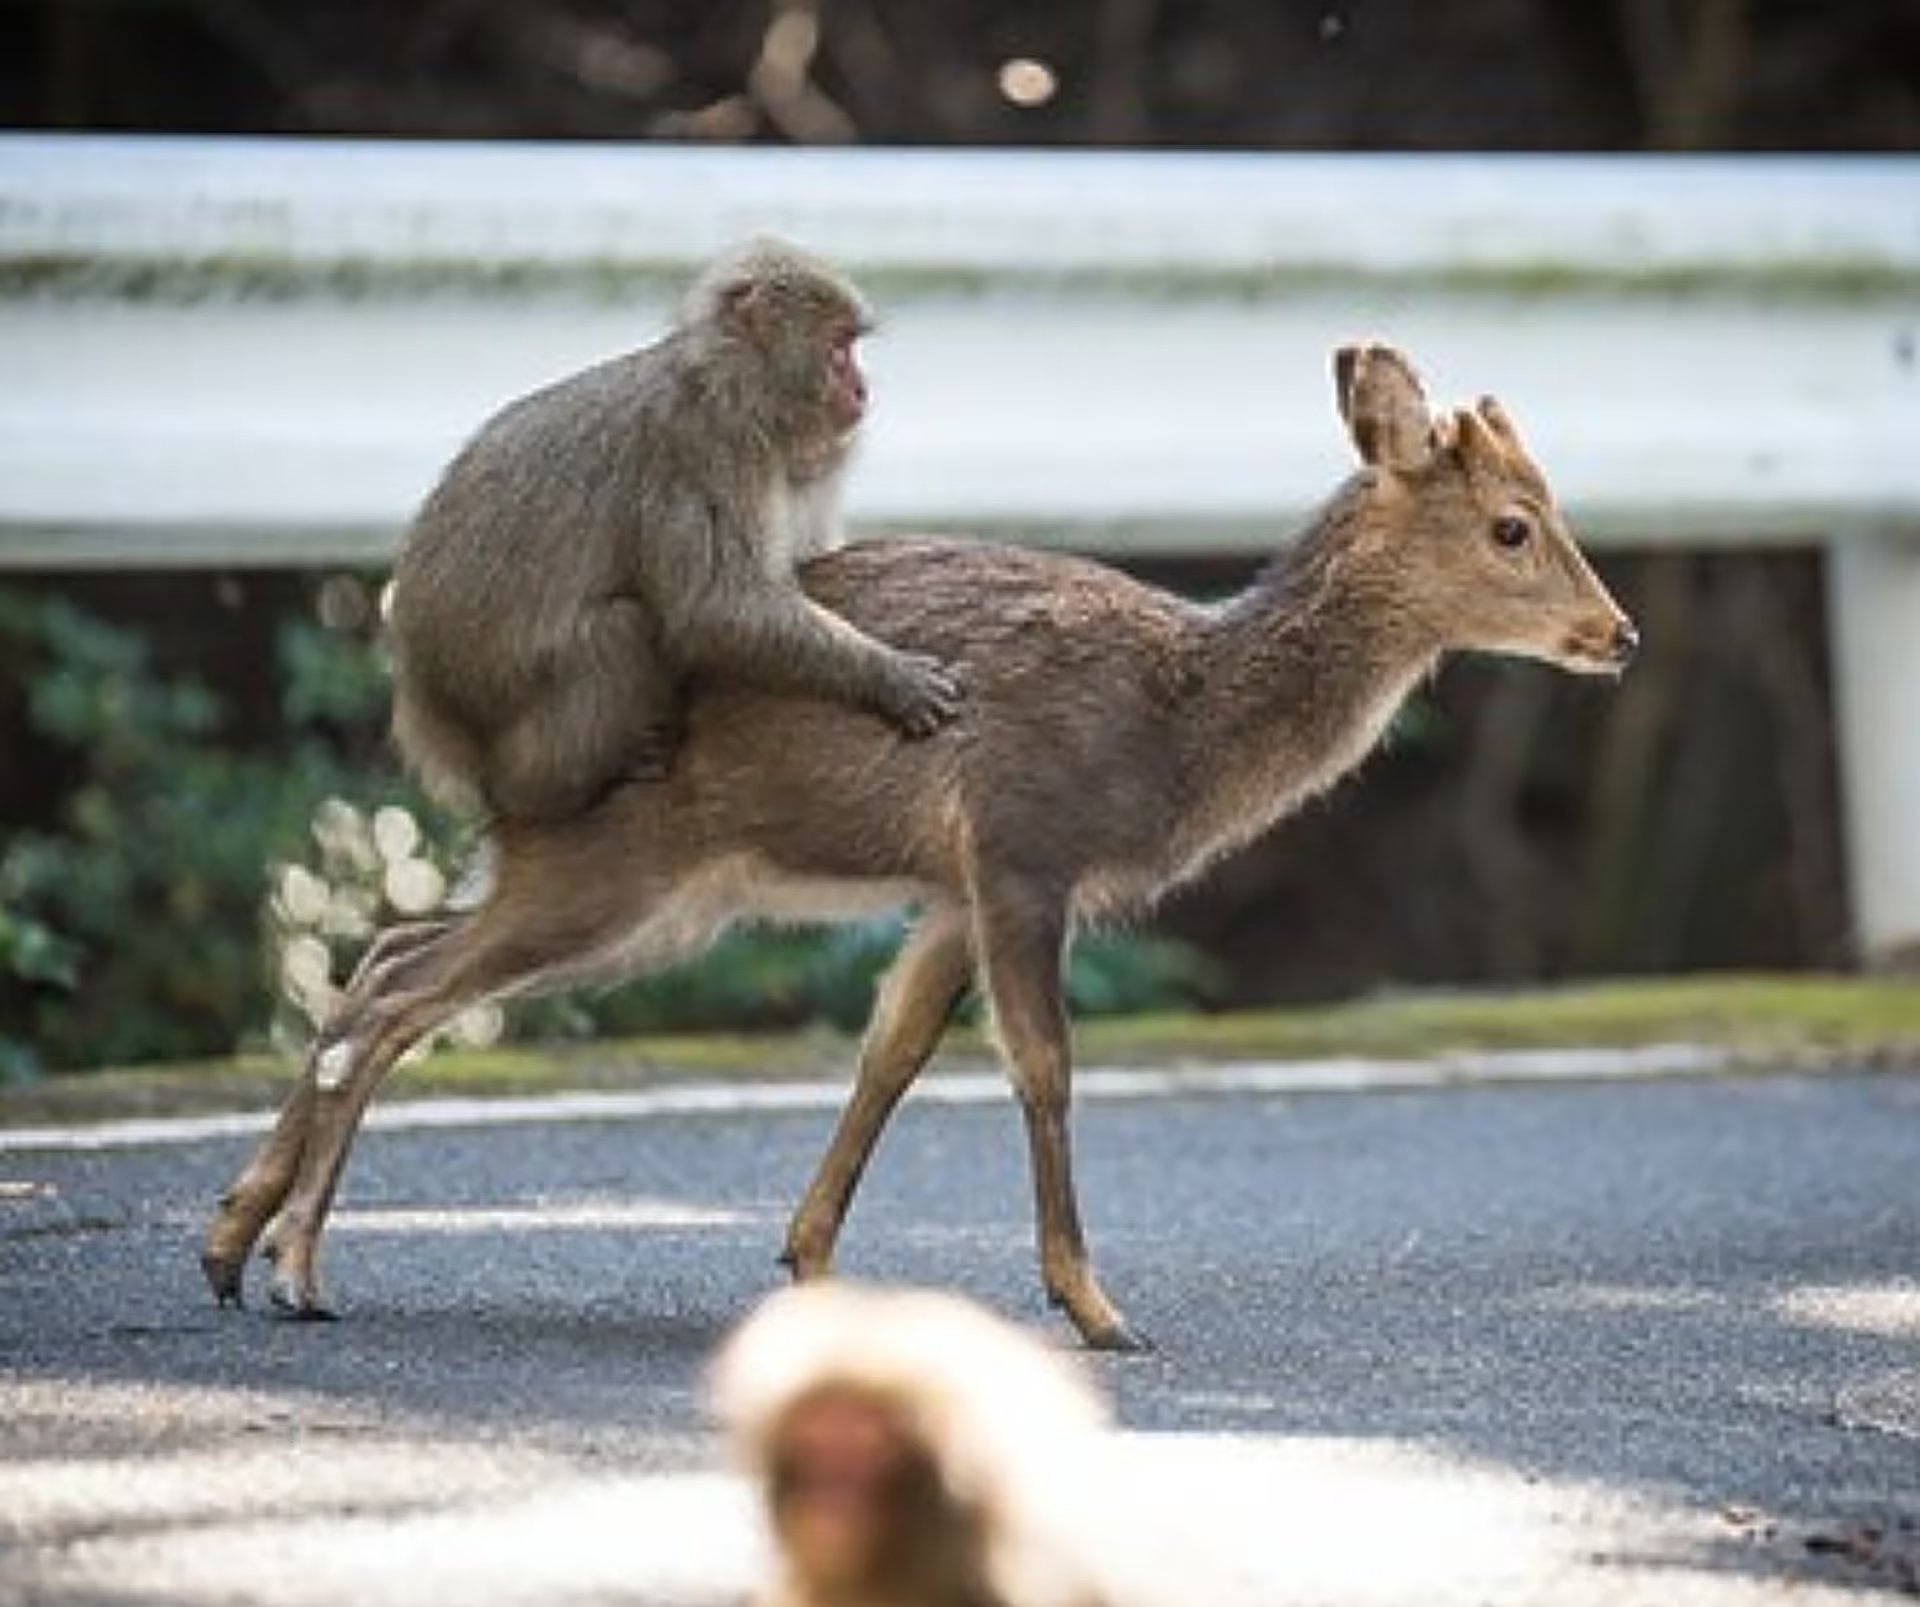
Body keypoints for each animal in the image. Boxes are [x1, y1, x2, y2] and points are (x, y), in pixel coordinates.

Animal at [201, 342, 1636, 1351]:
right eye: (1514, 524)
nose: (1618, 633)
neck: (1174, 725)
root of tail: (485, 752)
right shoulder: (1021, 843)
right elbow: (1042, 1065)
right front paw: (1096, 1307)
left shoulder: (949, 889)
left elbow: (888, 1053)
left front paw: (810, 1260)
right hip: (618, 869)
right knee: (401, 988)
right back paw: (297, 1265)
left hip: (635, 889)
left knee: (388, 948)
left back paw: (233, 1241)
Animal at [385, 238, 964, 825]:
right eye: (840, 346)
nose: (861, 389)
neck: (731, 385)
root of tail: (428, 703)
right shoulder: (707, 449)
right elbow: (714, 606)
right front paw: (886, 675)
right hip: (500, 702)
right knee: (621, 629)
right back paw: (546, 790)